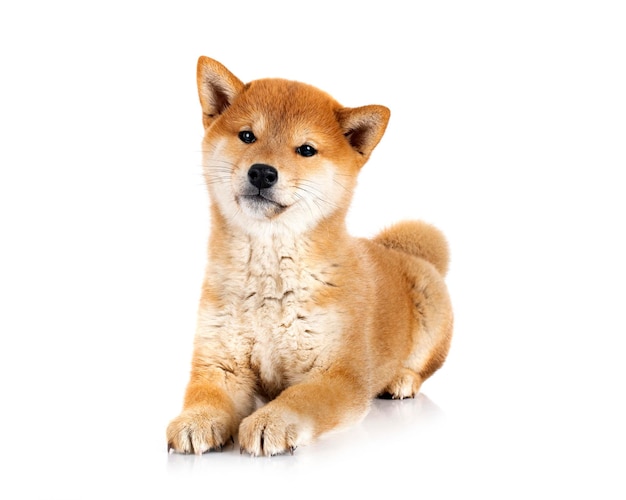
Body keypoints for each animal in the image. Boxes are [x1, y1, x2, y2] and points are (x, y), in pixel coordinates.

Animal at [163, 56, 450, 456]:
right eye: (247, 136)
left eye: (306, 150)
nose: (262, 172)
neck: (269, 279)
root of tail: (397, 251)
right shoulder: (221, 363)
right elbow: (204, 394)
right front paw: (197, 419)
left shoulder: (337, 374)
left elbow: (299, 399)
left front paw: (271, 421)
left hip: (429, 309)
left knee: (422, 367)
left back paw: (401, 380)